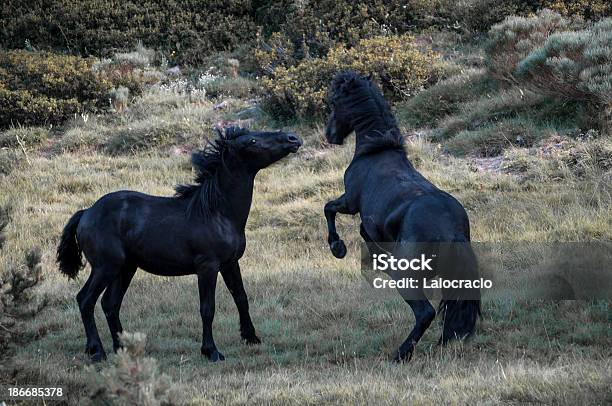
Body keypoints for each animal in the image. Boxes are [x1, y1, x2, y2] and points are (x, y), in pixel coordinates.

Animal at [58, 126, 302, 362]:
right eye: (251, 141)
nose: (293, 139)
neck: (216, 212)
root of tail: (86, 213)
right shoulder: (207, 267)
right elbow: (207, 308)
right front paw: (211, 351)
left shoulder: (230, 264)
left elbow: (241, 298)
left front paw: (251, 337)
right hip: (105, 267)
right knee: (86, 300)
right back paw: (97, 351)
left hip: (125, 269)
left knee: (110, 304)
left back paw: (121, 349)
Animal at [322, 70, 480, 362]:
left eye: (335, 102)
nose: (330, 135)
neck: (376, 150)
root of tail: (451, 231)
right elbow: (365, 233)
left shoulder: (350, 203)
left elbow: (329, 209)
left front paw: (338, 247)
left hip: (408, 278)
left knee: (425, 312)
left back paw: (401, 353)